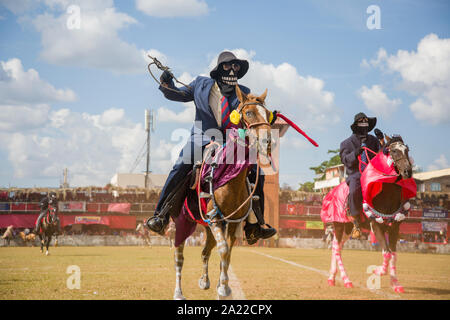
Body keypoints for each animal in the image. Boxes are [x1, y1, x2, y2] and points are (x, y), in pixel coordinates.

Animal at [172, 85, 272, 300]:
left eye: (268, 113)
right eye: (249, 112)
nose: (268, 141)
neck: (229, 178)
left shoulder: (232, 222)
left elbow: (227, 253)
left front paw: (221, 286)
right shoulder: (216, 219)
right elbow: (224, 250)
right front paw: (224, 287)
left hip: (207, 227)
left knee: (205, 251)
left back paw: (204, 281)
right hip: (183, 222)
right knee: (179, 257)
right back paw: (178, 292)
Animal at [320, 135, 414, 292]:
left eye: (407, 150)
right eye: (394, 151)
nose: (408, 171)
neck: (387, 194)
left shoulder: (395, 227)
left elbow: (393, 255)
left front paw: (395, 284)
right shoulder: (376, 225)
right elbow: (386, 253)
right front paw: (378, 271)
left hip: (348, 228)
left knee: (336, 246)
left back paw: (332, 278)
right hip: (338, 225)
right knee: (337, 249)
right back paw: (345, 280)